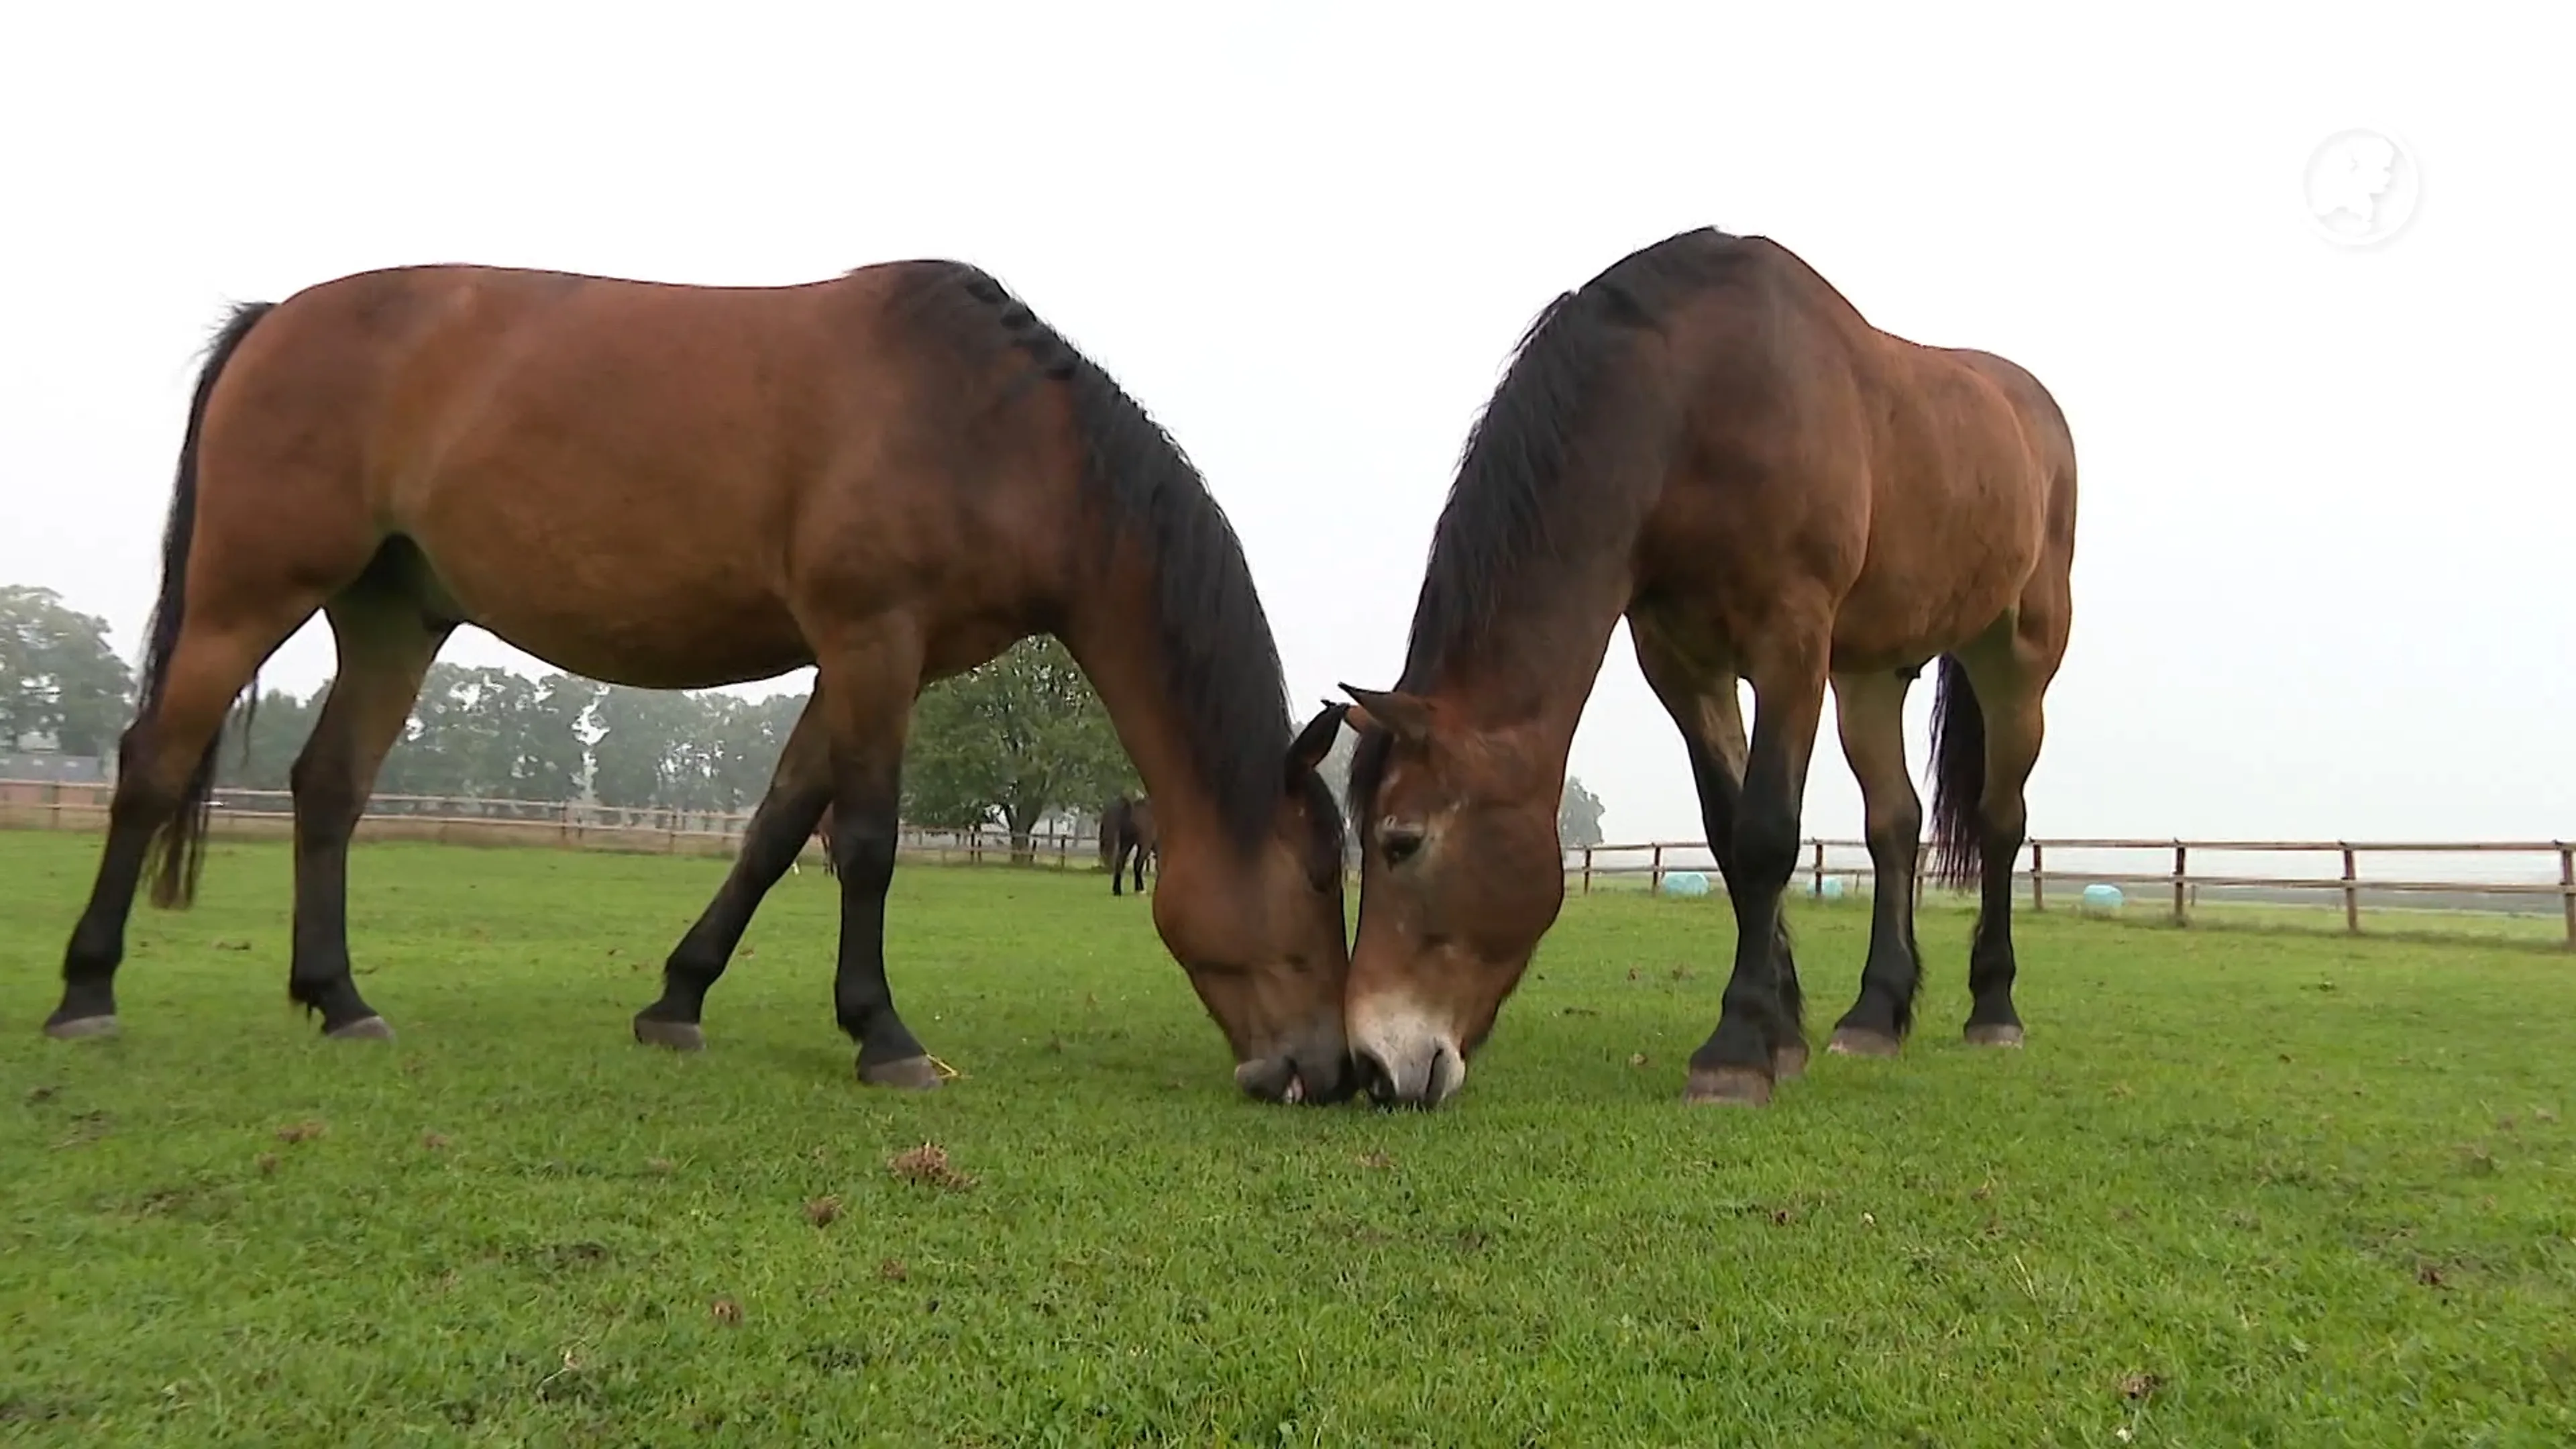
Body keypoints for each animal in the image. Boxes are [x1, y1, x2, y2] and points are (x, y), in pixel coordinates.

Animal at [1099, 795, 1158, 896]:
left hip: (1127, 843)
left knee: (1120, 861)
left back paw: (1118, 890)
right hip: (1144, 845)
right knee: (1137, 862)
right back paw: (1139, 889)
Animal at [1340, 228, 2076, 1109]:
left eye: (1402, 842)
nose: (1373, 1067)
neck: (1693, 408)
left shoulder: (1791, 644)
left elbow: (1765, 834)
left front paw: (1736, 1050)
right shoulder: (1682, 664)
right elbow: (1727, 836)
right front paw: (1781, 1033)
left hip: (2017, 660)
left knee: (2001, 820)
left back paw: (1994, 1010)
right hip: (1867, 676)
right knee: (1894, 823)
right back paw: (1874, 1014)